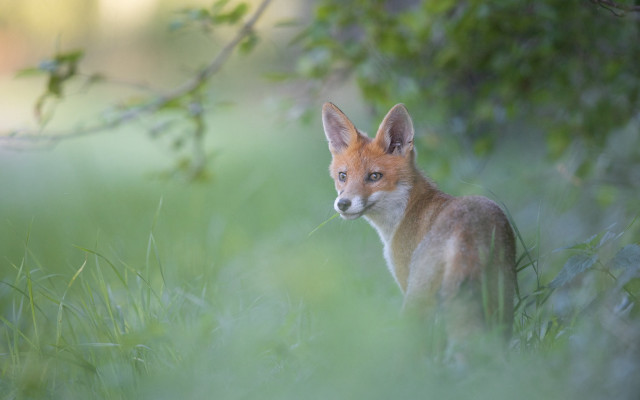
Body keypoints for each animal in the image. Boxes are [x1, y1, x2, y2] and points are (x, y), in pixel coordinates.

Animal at [321, 102, 516, 341]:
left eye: (375, 176)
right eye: (343, 176)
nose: (343, 204)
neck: (406, 210)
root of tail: (466, 228)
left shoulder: (405, 279)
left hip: (418, 299)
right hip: (501, 299)